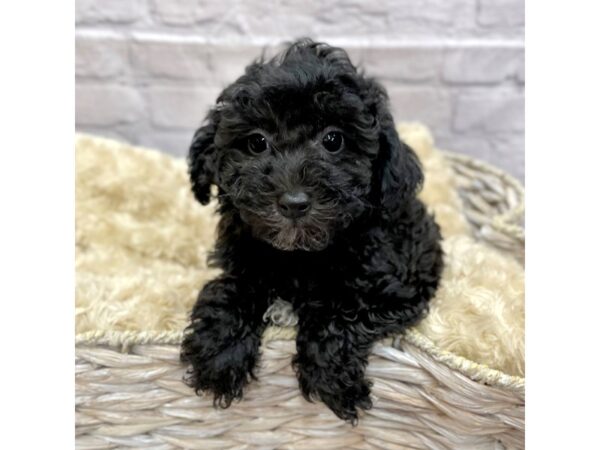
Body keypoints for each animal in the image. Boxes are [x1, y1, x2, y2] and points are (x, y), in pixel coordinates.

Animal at [180, 37, 442, 422]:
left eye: (333, 140)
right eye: (257, 142)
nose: (294, 202)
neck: (300, 256)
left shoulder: (396, 292)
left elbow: (340, 314)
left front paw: (333, 379)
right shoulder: (243, 261)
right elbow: (228, 292)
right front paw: (219, 356)